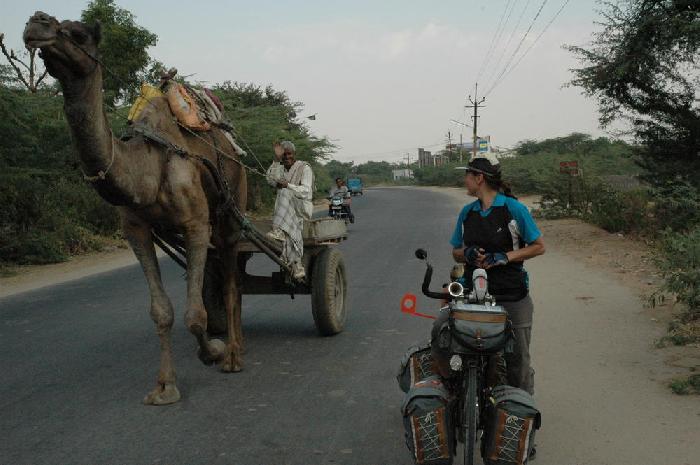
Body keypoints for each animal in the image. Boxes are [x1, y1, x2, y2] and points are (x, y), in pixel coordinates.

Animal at [22, 10, 249, 402]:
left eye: (79, 34)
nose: (36, 22)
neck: (147, 167)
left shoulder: (196, 222)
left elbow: (194, 314)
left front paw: (214, 351)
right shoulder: (136, 230)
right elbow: (162, 311)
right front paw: (165, 386)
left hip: (233, 212)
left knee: (232, 285)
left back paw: (234, 355)